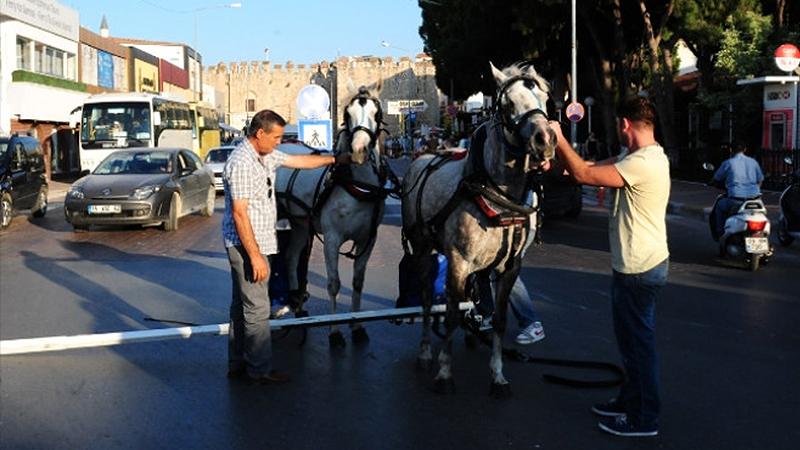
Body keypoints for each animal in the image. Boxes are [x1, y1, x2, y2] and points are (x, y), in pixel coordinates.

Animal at [274, 84, 392, 346]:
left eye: (376, 113)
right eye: (347, 113)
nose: (358, 151)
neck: (358, 184)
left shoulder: (368, 239)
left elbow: (358, 282)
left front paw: (356, 326)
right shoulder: (331, 238)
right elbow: (334, 284)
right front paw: (335, 330)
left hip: (300, 224)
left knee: (291, 256)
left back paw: (298, 306)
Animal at [404, 63, 552, 398]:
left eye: (545, 98)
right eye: (508, 104)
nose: (545, 139)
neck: (496, 192)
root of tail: (423, 157)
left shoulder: (510, 267)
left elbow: (499, 319)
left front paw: (498, 374)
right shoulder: (458, 263)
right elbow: (450, 315)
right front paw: (444, 372)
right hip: (422, 249)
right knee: (426, 298)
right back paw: (424, 351)